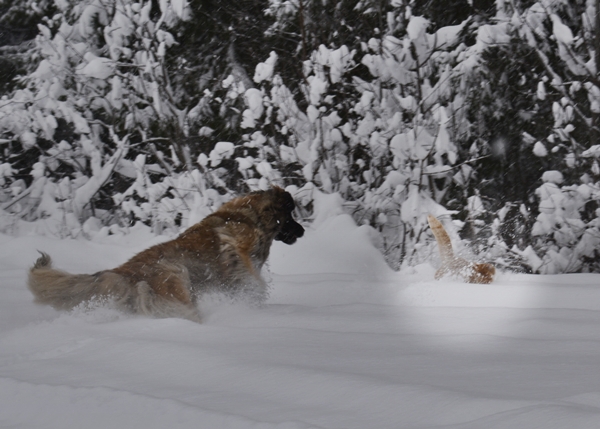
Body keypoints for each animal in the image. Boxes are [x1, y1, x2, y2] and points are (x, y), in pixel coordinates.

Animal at [28, 187, 304, 320]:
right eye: (290, 215)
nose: (301, 231)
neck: (250, 215)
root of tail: (123, 271)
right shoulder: (238, 249)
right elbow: (251, 277)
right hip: (175, 275)